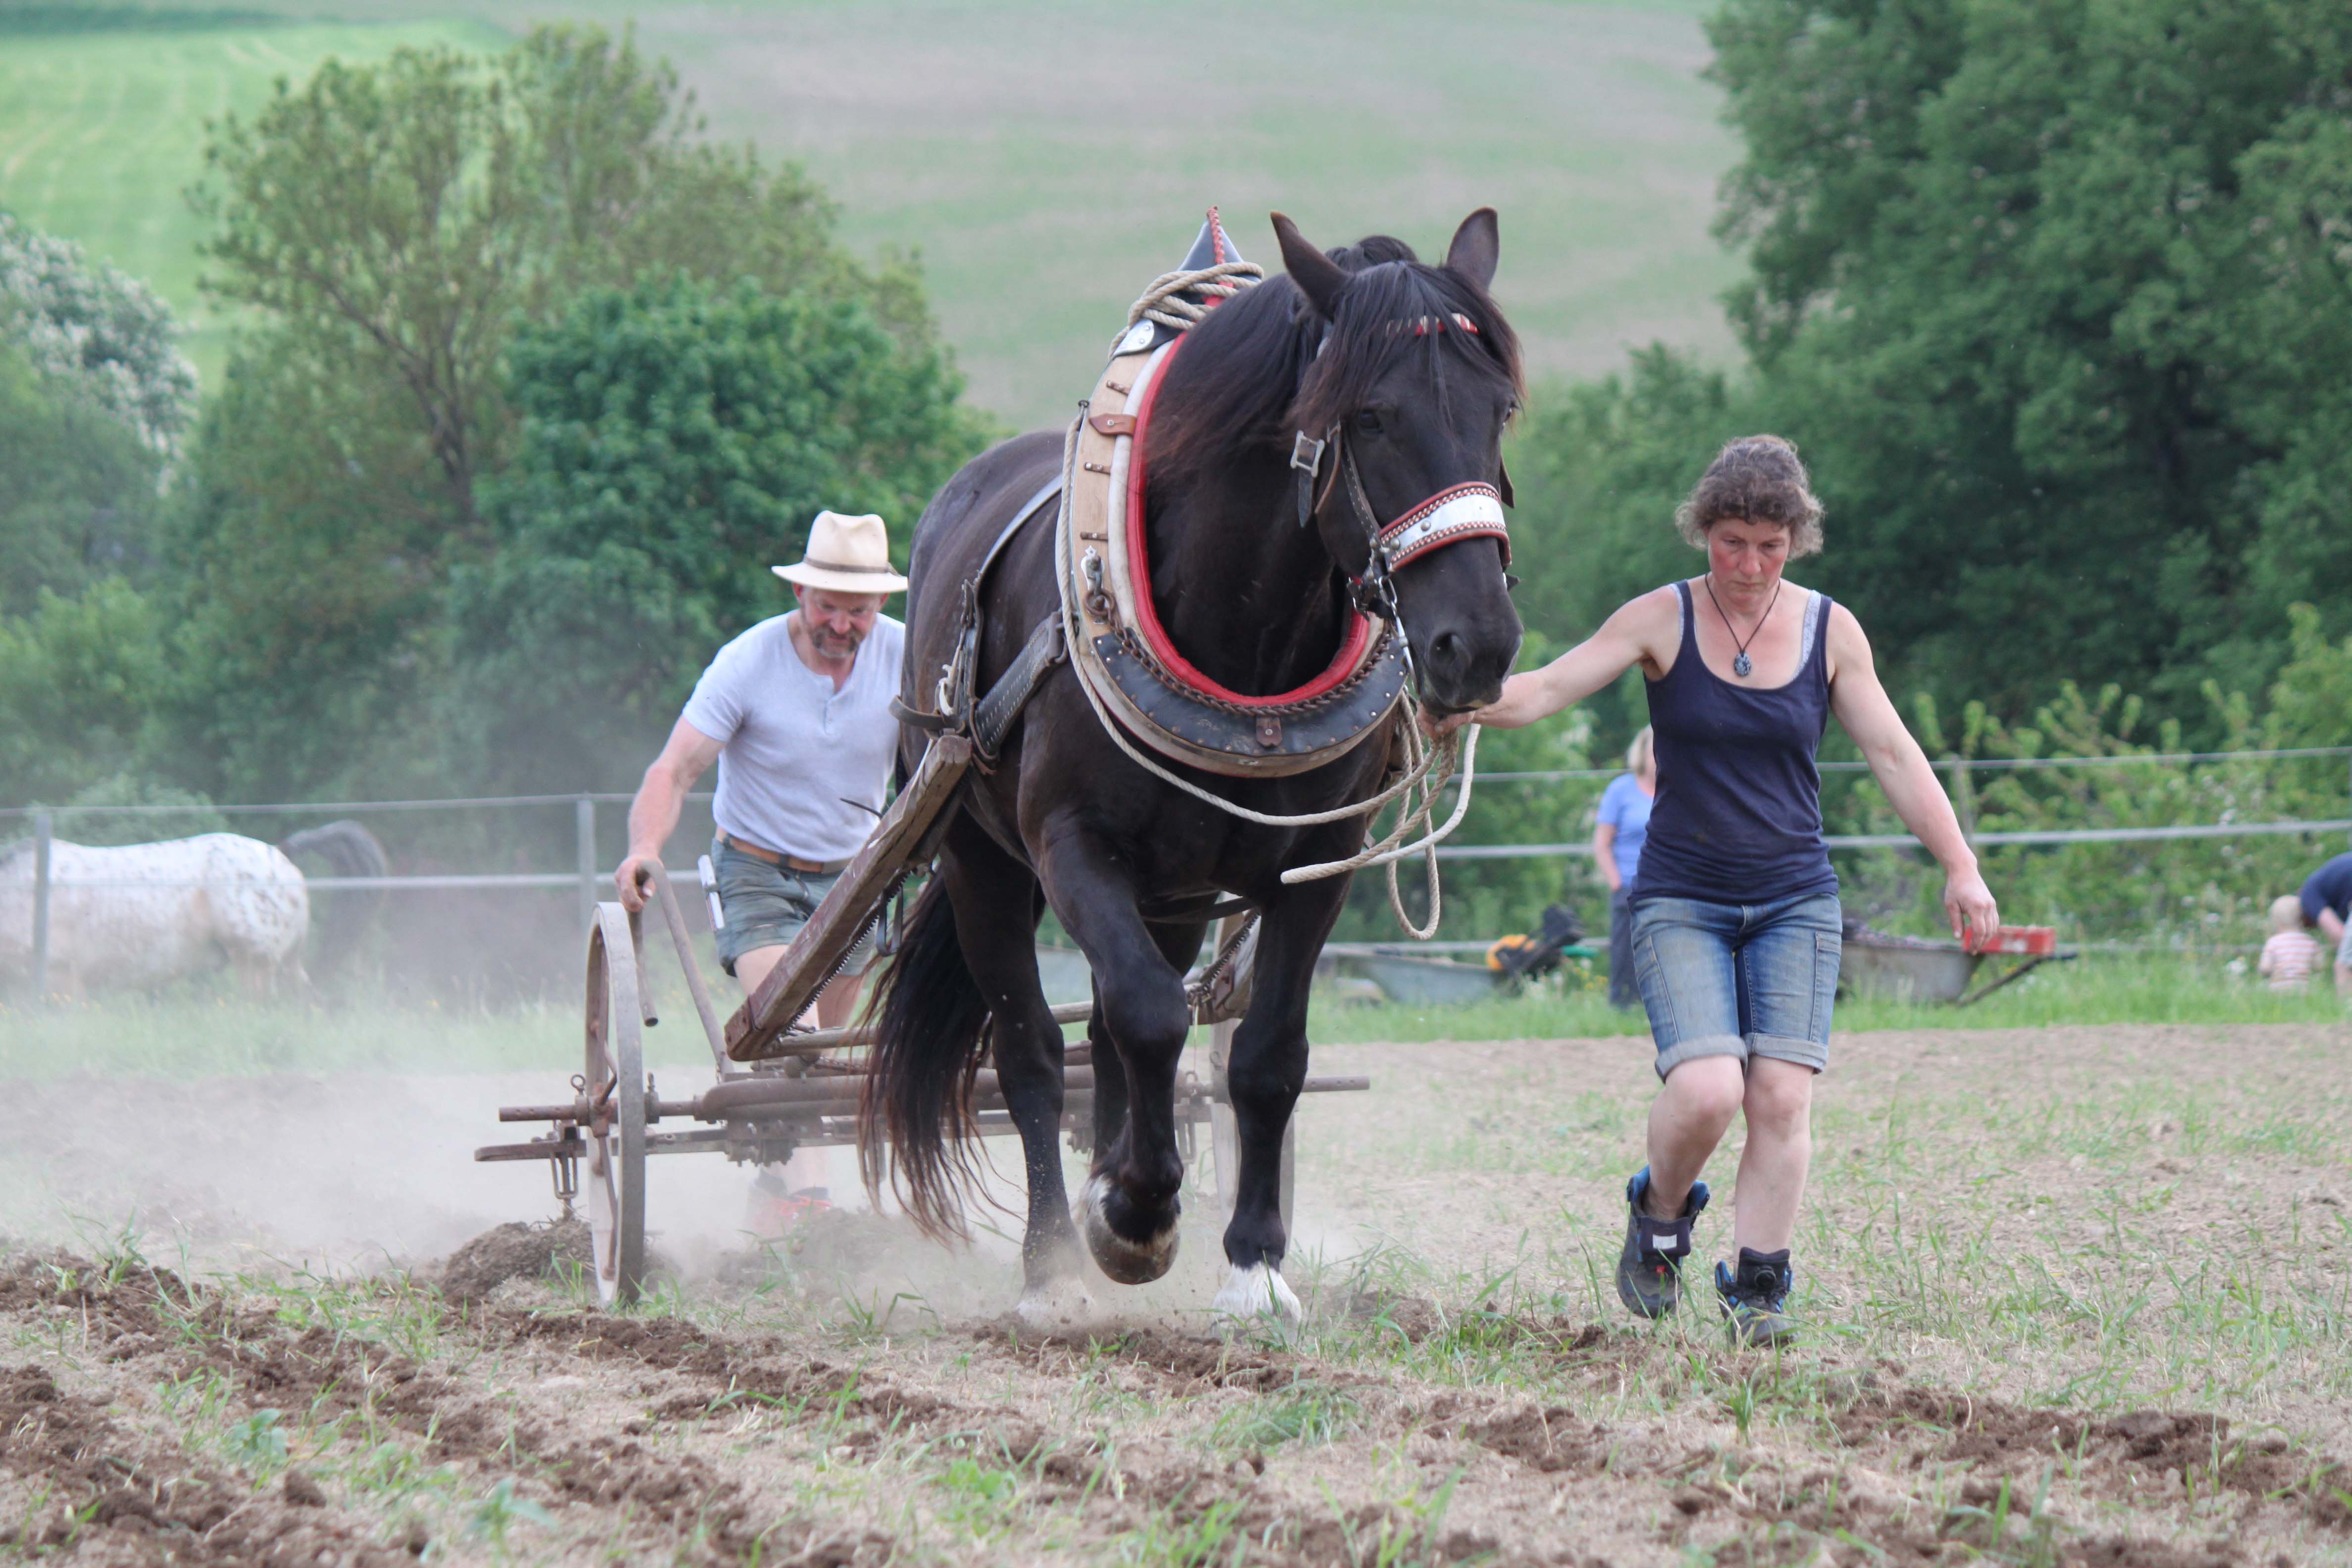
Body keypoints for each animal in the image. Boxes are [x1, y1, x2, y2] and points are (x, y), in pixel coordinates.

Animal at [861, 210, 1525, 1324]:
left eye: (1500, 409)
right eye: (1372, 416)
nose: (1475, 644)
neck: (1240, 648)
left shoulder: (1315, 868)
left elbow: (1262, 1056)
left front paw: (1252, 1263)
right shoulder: (1071, 846)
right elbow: (1141, 1017)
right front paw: (1133, 1219)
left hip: (1170, 895)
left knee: (1115, 1040)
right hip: (979, 860)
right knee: (1035, 1050)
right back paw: (1053, 1258)